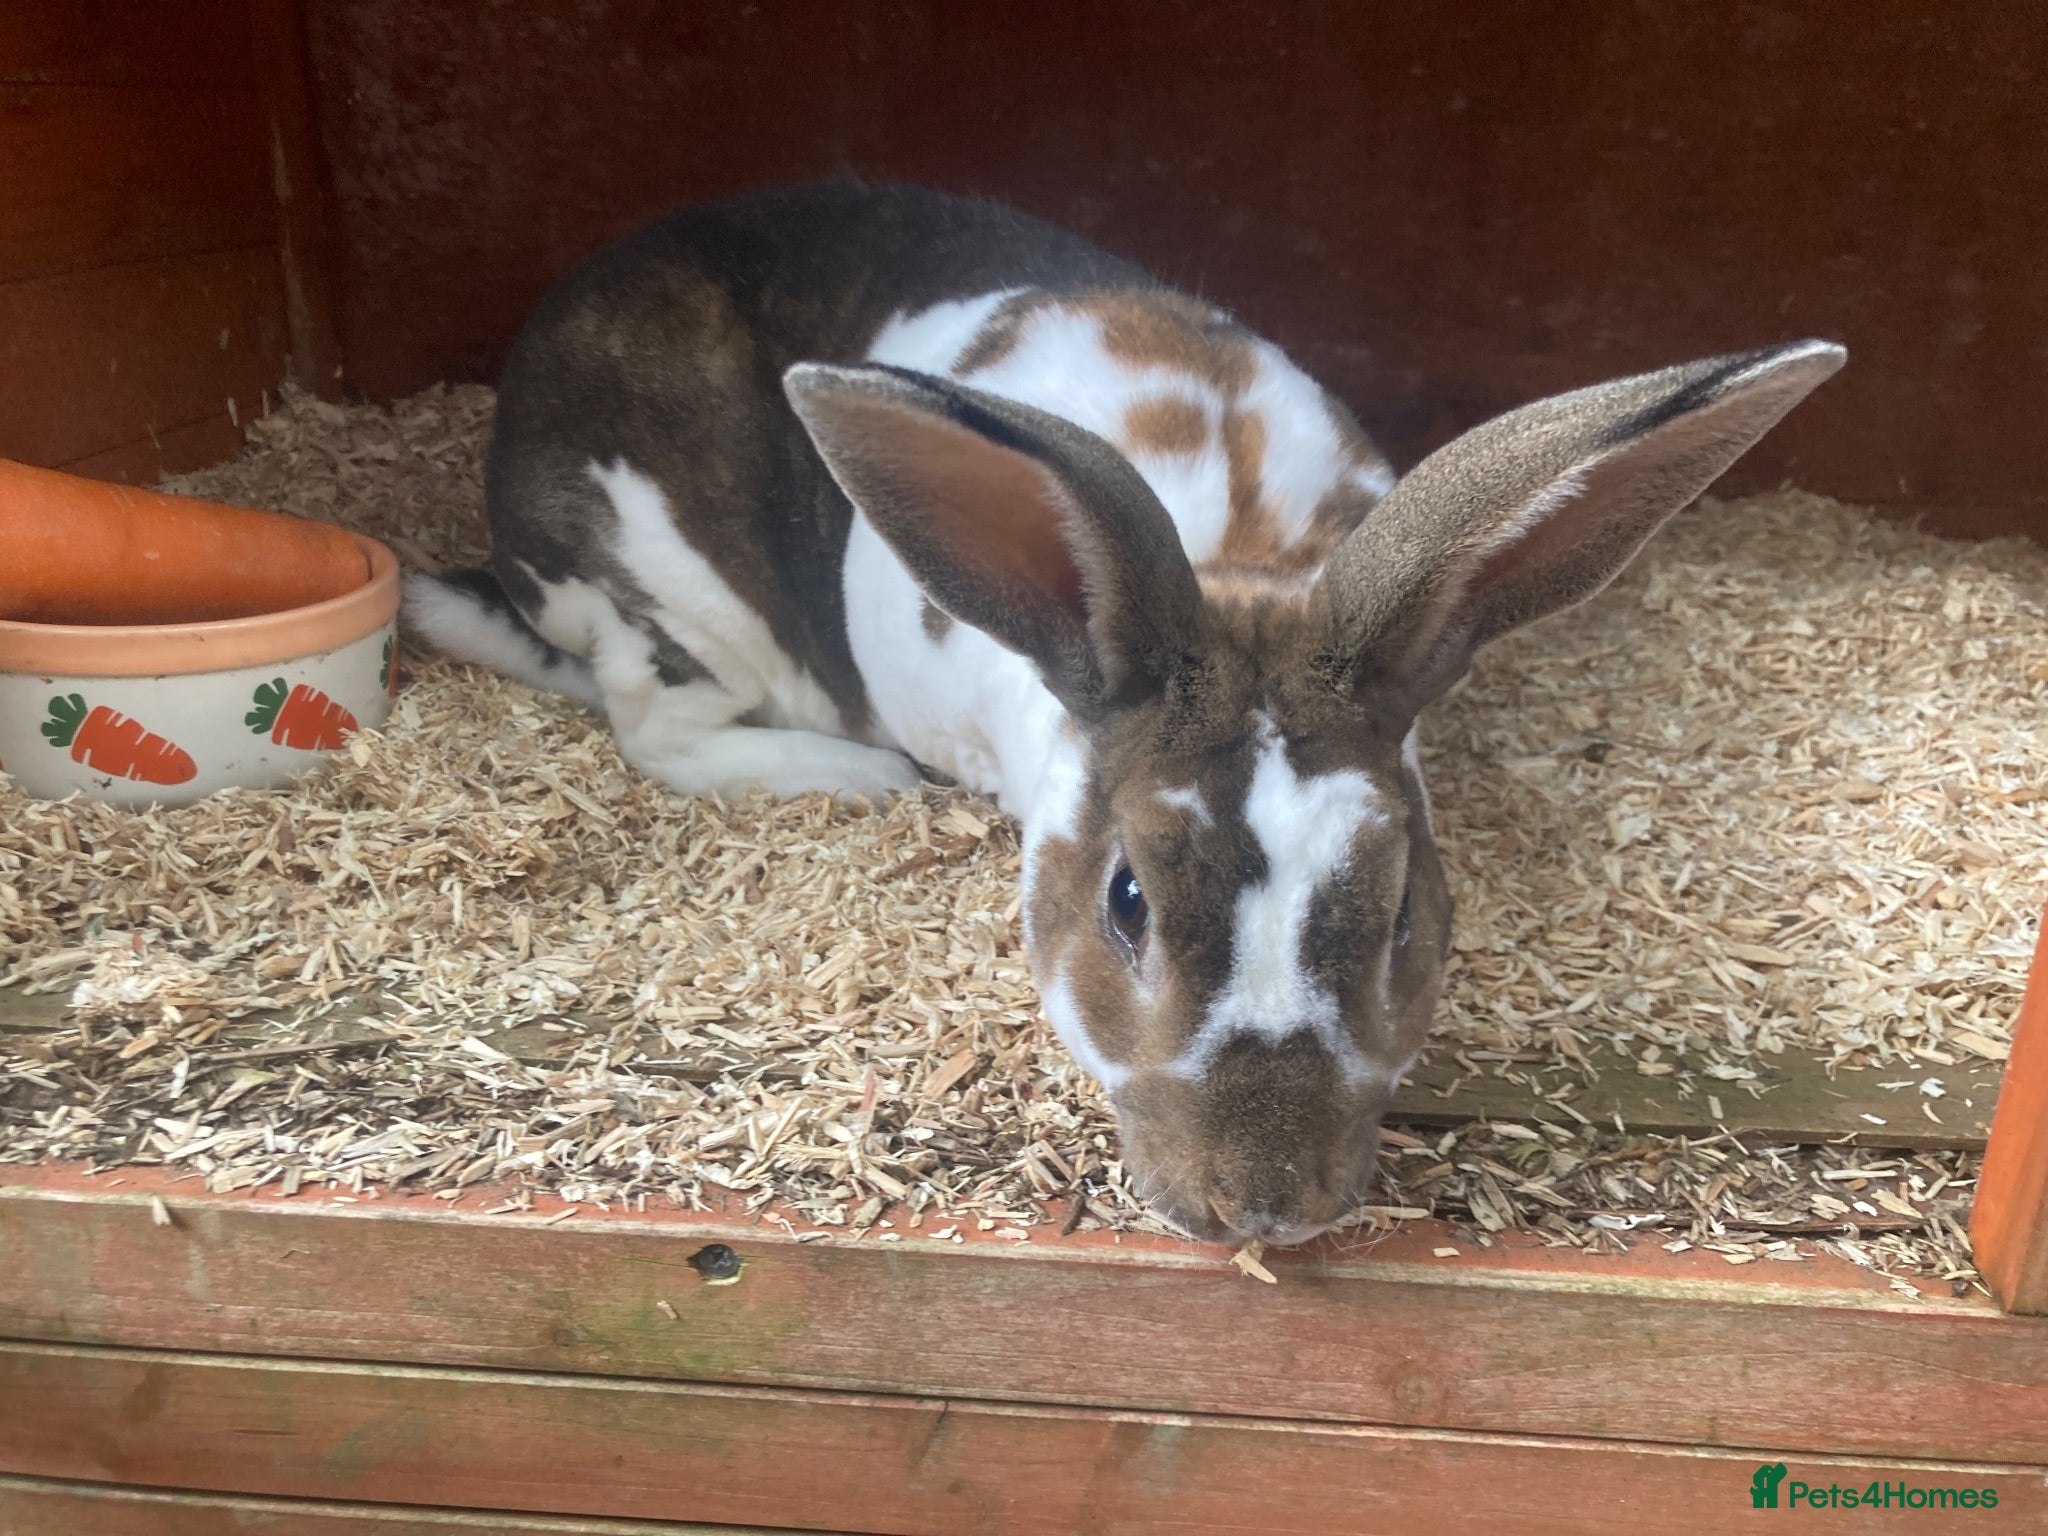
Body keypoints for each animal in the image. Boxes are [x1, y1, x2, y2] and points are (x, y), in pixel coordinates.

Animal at [407, 180, 1844, 1245]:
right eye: (1128, 901)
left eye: (1398, 912)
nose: (1260, 1210)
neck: (1234, 570)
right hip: (672, 584)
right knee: (653, 721)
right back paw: (850, 772)